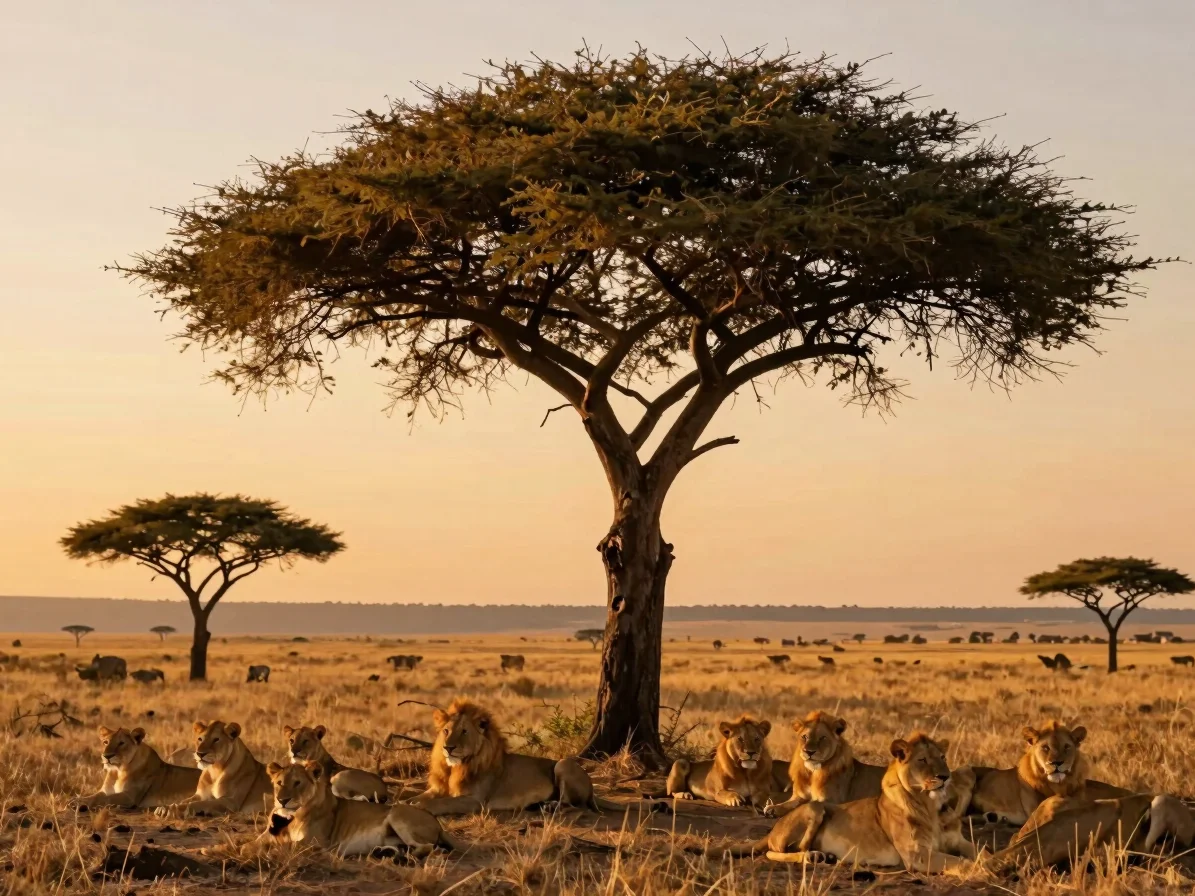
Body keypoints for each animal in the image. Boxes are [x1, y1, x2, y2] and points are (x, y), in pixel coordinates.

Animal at [266, 760, 460, 857]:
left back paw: (405, 859)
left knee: (430, 847)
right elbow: (262, 843)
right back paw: (385, 853)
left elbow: (288, 845)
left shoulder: (317, 843)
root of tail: (438, 825)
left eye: (298, 783)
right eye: (279, 783)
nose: (282, 800)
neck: (292, 816)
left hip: (397, 813)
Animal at [412, 699, 619, 815]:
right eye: (446, 731)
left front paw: (421, 806)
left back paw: (551, 806)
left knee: (578, 805)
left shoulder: (476, 801)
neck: (456, 767)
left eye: (464, 732)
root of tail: (592, 787)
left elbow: (442, 802)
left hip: (563, 764)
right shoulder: (438, 788)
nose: (448, 748)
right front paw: (410, 802)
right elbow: (421, 796)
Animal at [727, 733, 979, 873]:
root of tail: (773, 830)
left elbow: (979, 852)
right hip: (815, 808)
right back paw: (814, 857)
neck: (931, 805)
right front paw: (980, 870)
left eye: (943, 758)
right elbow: (958, 862)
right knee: (777, 851)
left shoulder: (959, 841)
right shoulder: (916, 854)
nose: (945, 776)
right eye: (923, 760)